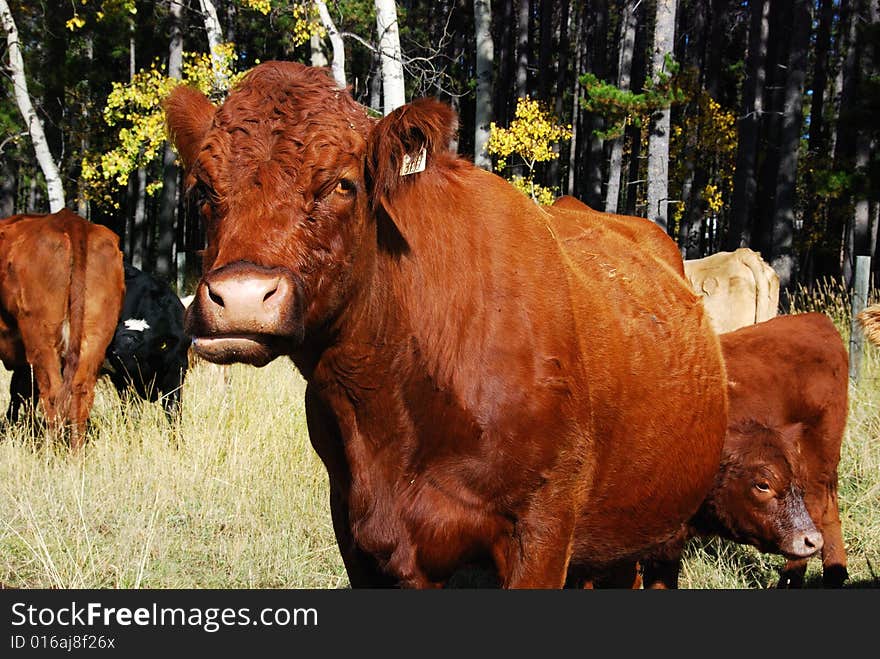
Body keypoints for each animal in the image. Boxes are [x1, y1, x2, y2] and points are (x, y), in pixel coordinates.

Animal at [104, 264, 192, 416]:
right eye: (113, 339)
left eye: (137, 343)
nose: (114, 353)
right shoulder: (124, 380)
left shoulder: (177, 369)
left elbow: (172, 408)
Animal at [167, 60, 728, 588]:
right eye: (202, 190)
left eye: (343, 184)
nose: (241, 296)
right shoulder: (359, 532)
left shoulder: (544, 527)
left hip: (662, 531)